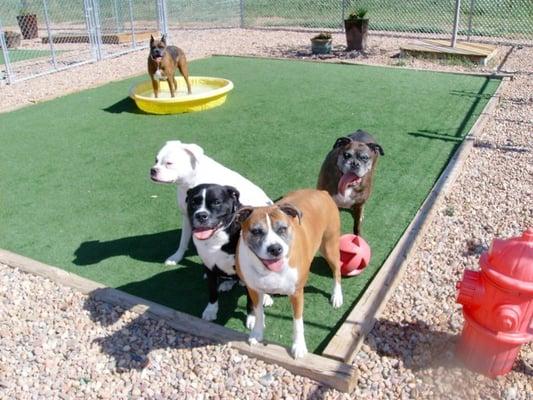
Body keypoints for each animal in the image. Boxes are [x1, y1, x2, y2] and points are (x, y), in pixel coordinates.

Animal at [185, 184, 272, 324]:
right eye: (193, 202)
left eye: (216, 202)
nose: (201, 215)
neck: (218, 237)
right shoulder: (209, 268)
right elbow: (212, 292)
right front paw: (211, 310)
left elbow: (251, 300)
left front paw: (252, 317)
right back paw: (227, 284)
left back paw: (266, 297)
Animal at [235, 189, 342, 358]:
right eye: (256, 231)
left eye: (282, 229)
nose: (275, 248)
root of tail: (321, 191)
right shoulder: (253, 289)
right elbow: (258, 313)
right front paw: (257, 334)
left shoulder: (296, 293)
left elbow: (298, 322)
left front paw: (299, 347)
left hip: (329, 246)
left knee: (337, 269)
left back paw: (337, 296)